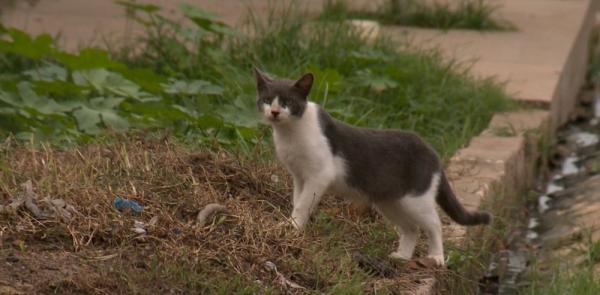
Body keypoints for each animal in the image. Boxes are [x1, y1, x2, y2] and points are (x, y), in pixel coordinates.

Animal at [254, 69, 492, 266]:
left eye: (287, 102)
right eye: (266, 100)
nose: (274, 112)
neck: (289, 134)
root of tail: (431, 151)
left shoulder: (319, 175)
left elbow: (303, 204)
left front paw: (292, 227)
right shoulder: (299, 176)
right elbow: (297, 200)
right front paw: (294, 226)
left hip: (416, 199)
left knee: (434, 223)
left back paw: (436, 257)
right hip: (391, 201)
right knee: (411, 228)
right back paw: (402, 256)